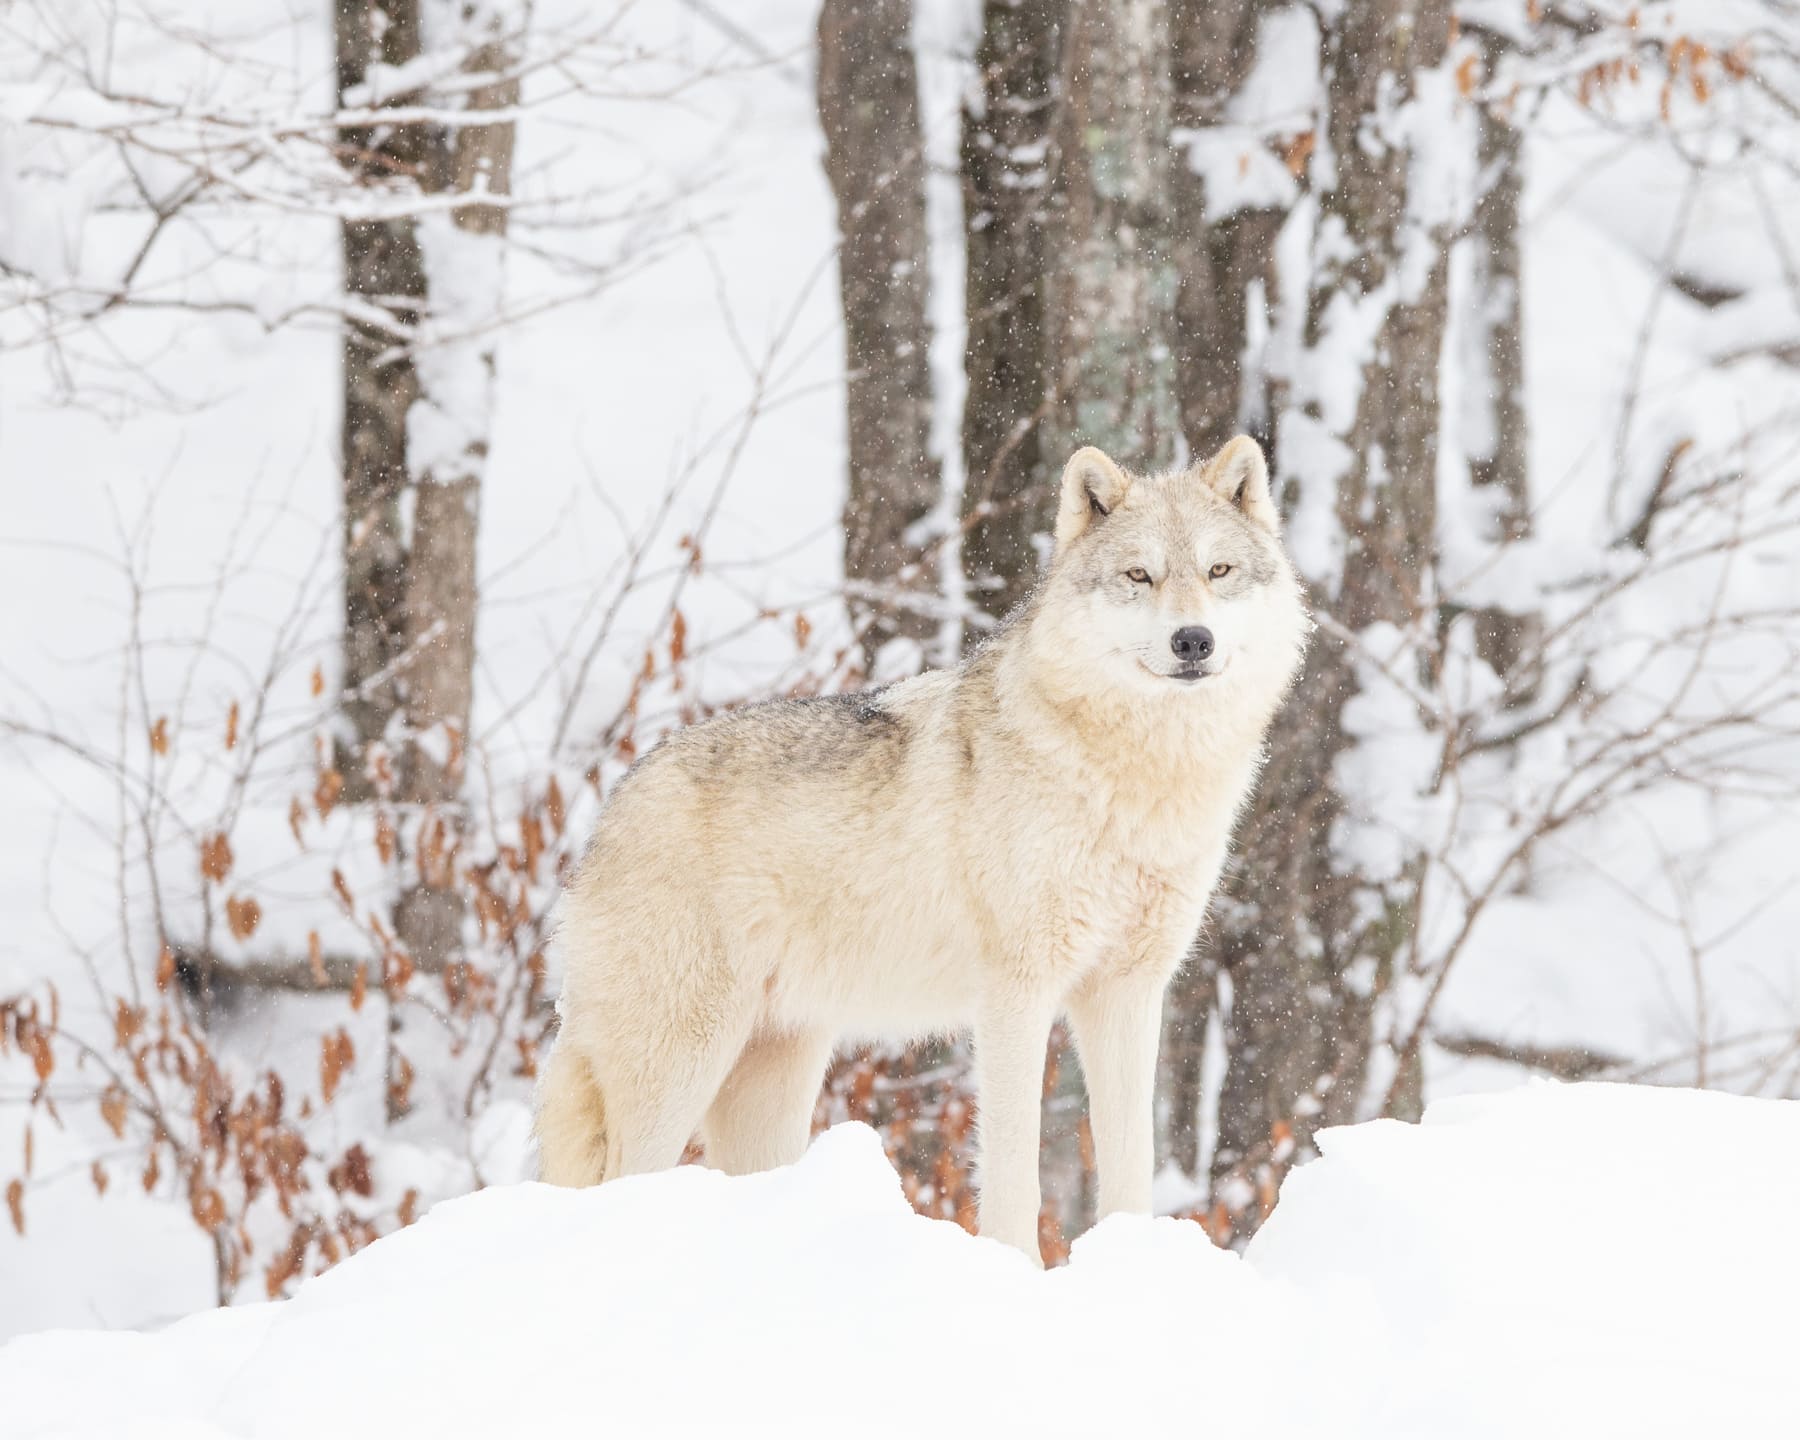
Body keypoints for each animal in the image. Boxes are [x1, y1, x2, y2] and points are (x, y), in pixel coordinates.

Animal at [536, 436, 1308, 1261]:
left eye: (1218, 571)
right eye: (1140, 575)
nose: (1192, 640)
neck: (1137, 782)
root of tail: (609, 814)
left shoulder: (1127, 992)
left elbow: (1131, 1164)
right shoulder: (1016, 994)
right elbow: (1015, 1173)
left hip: (770, 1081)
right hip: (679, 1065)